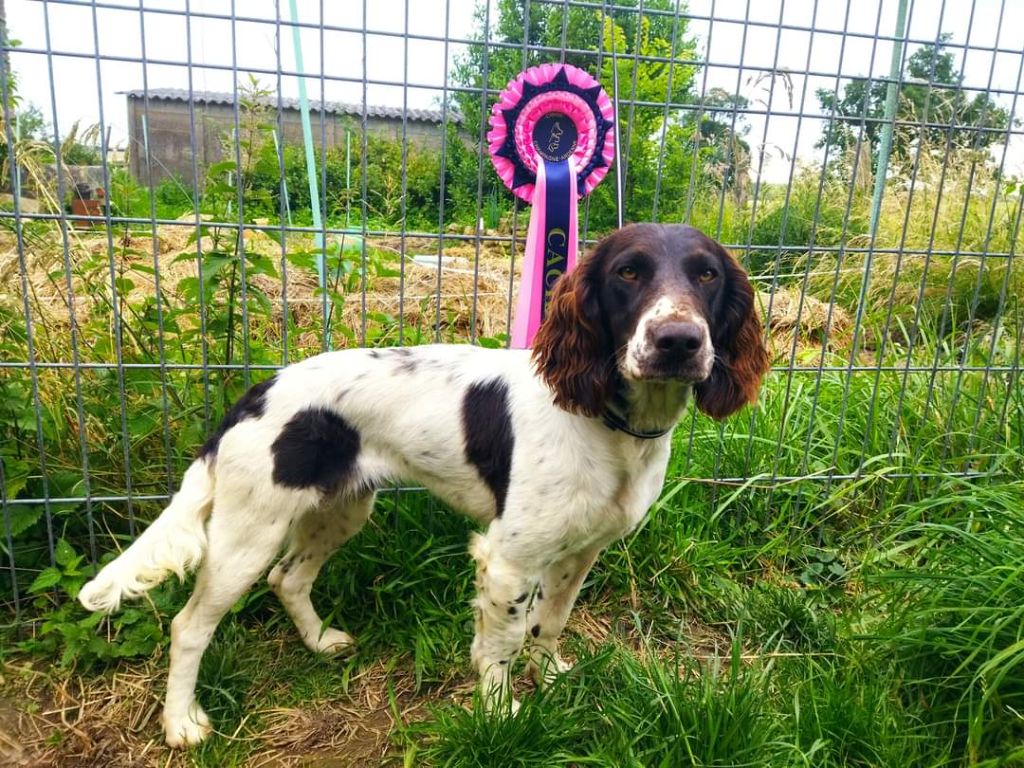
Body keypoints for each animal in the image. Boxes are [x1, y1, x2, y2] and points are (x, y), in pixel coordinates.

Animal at [79, 224, 770, 753]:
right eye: (628, 273)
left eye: (707, 276)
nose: (678, 341)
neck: (608, 423)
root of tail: (253, 395)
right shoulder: (507, 559)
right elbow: (502, 642)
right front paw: (501, 715)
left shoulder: (579, 552)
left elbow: (550, 623)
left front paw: (550, 676)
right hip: (247, 533)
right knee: (190, 625)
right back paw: (180, 724)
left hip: (341, 509)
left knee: (289, 579)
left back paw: (320, 643)